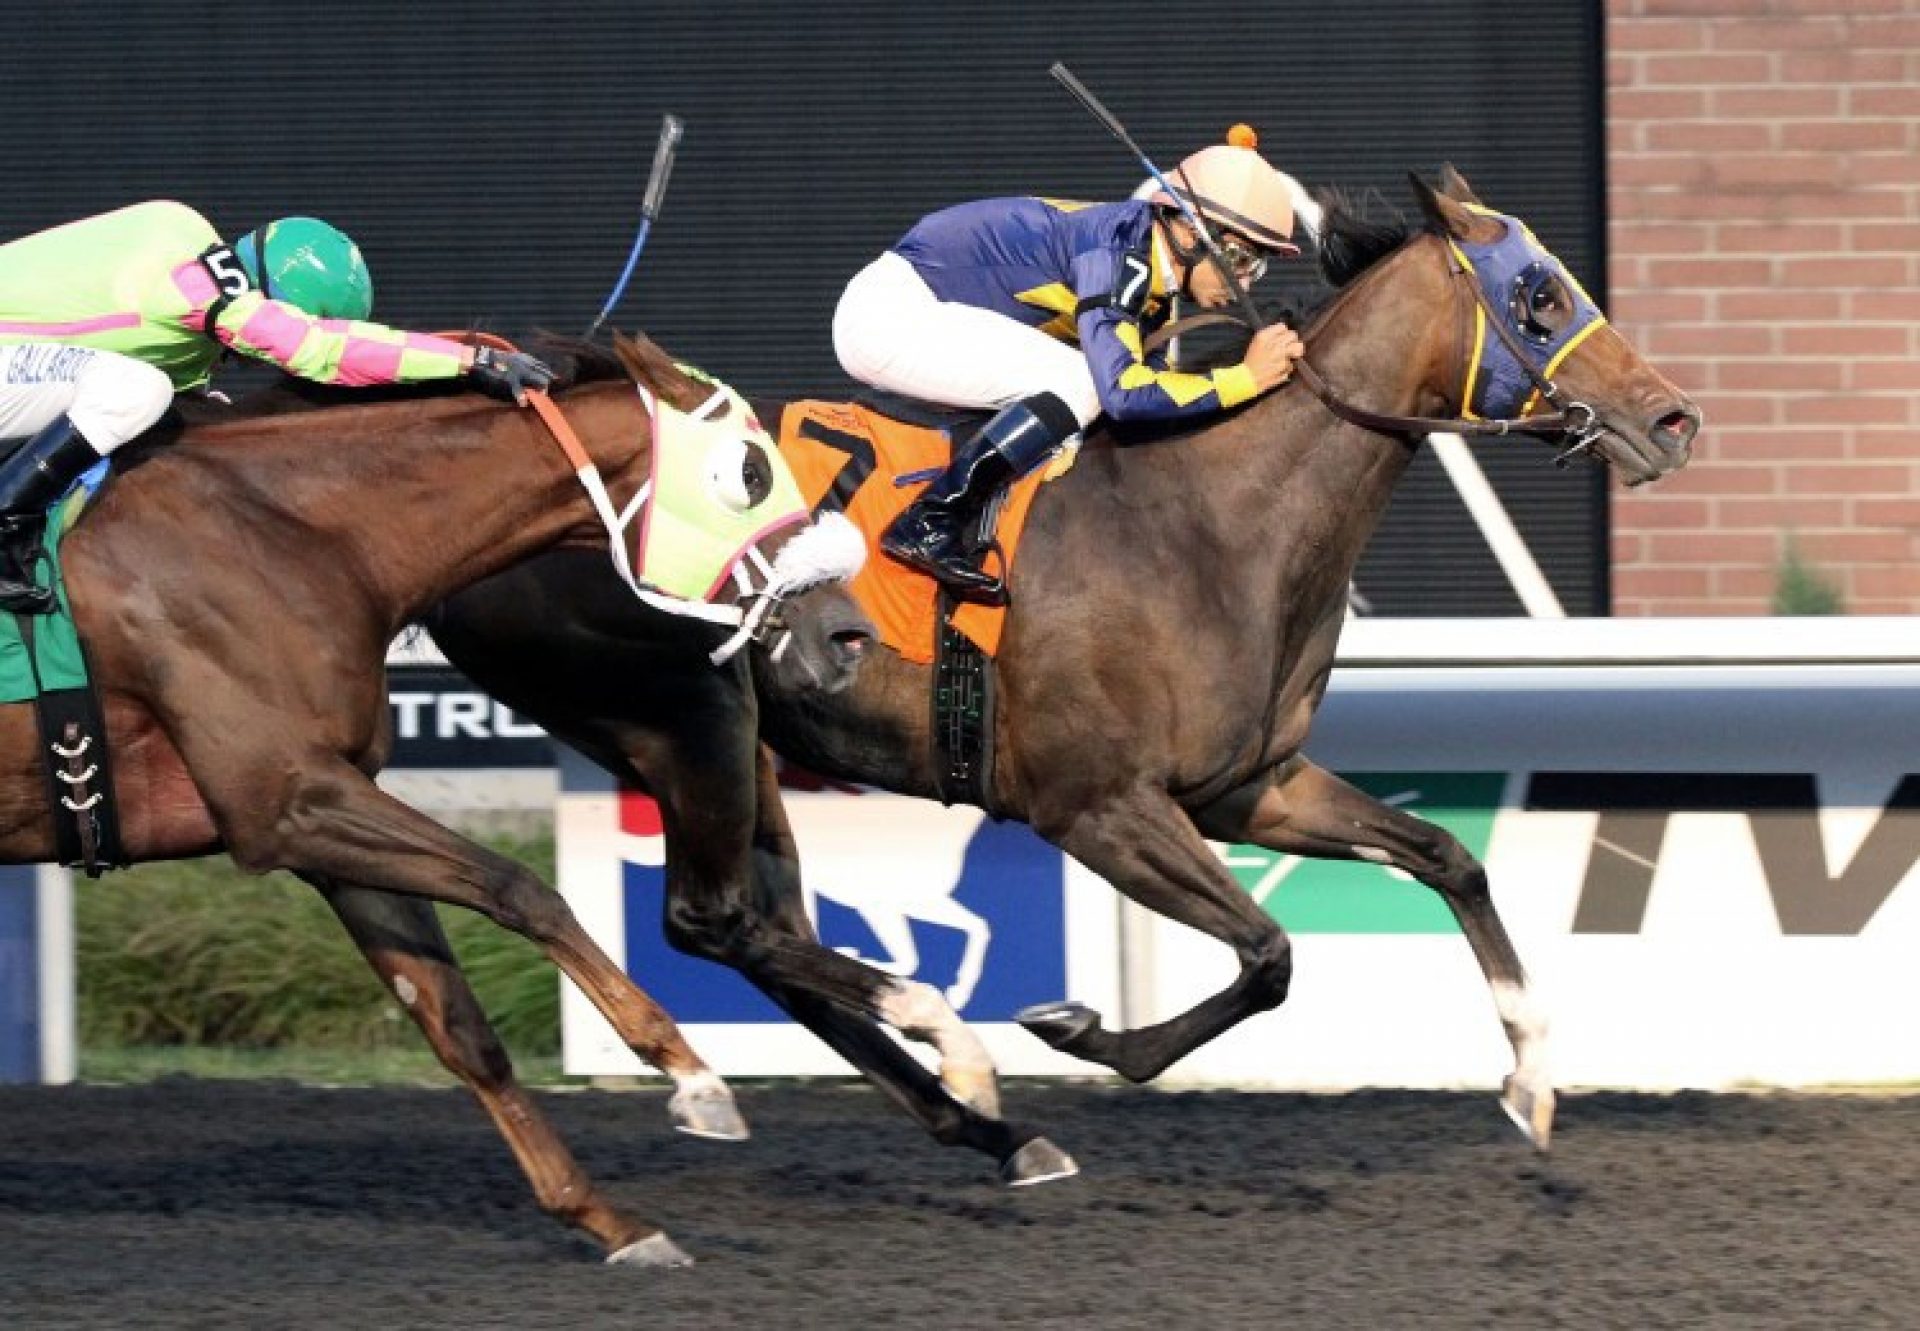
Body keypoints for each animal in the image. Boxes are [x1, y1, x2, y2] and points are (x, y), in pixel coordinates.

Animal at [7, 334, 871, 1267]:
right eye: (748, 473)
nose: (846, 634)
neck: (297, 534)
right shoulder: (284, 798)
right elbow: (522, 889)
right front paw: (691, 1071)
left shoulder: (327, 809)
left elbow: (459, 1025)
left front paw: (609, 1219)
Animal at [435, 170, 1697, 1175]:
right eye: (1541, 298)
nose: (1675, 420)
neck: (1212, 519)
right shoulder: (1096, 804)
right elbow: (1269, 954)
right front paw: (1076, 1026)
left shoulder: (1249, 787)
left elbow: (1445, 856)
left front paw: (1531, 1080)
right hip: (677, 716)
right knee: (710, 919)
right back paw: (954, 1057)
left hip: (742, 745)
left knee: (762, 929)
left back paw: (984, 1121)